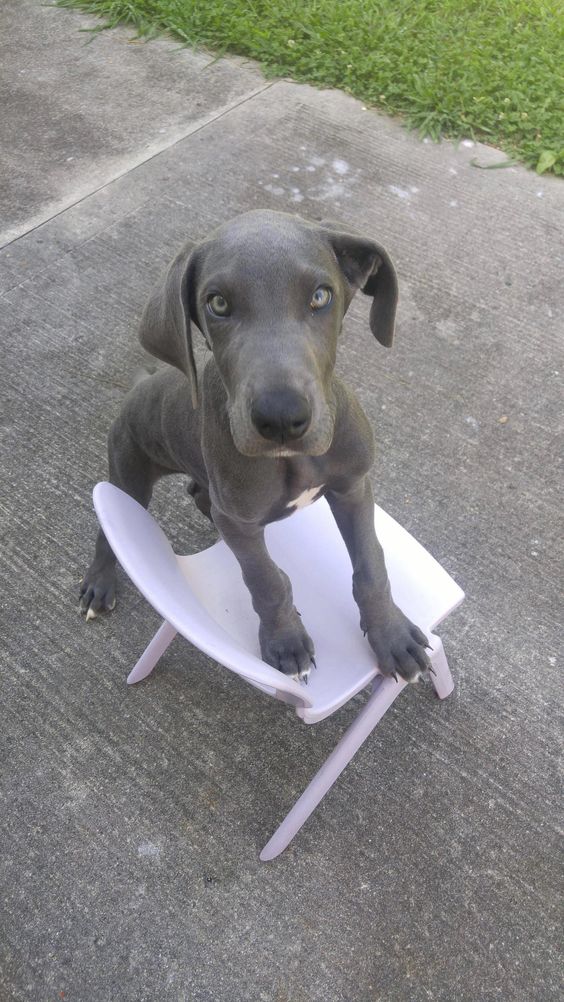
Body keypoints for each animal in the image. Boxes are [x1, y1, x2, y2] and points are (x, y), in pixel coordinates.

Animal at [80, 209, 432, 681]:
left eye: (321, 296)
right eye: (218, 303)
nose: (281, 417)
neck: (293, 460)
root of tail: (141, 385)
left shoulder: (352, 486)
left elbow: (371, 563)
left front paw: (391, 635)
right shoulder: (241, 520)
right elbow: (265, 579)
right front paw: (286, 642)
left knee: (202, 496)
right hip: (128, 467)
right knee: (110, 528)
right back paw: (99, 584)